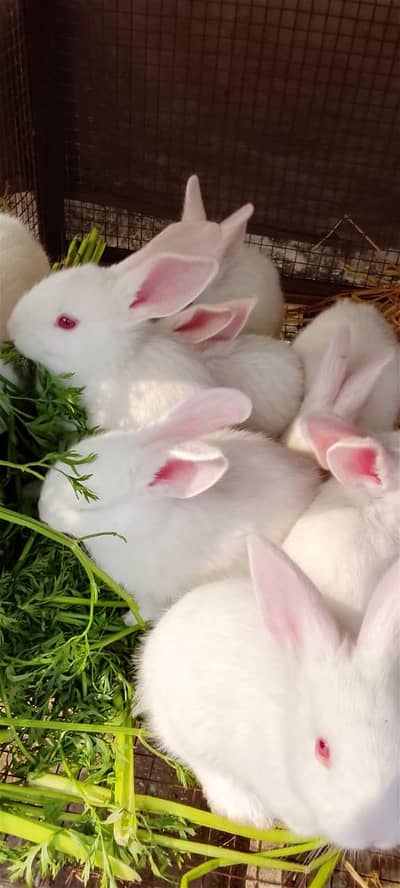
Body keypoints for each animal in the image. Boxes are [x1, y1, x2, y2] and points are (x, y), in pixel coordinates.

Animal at [38, 388, 320, 622]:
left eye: (88, 506)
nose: (41, 511)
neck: (147, 524)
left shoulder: (152, 590)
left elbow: (146, 610)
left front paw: (128, 620)